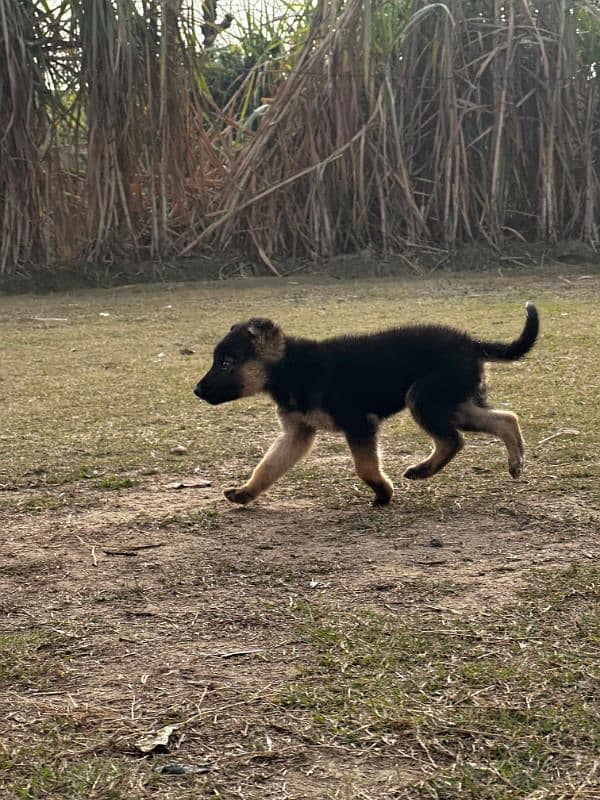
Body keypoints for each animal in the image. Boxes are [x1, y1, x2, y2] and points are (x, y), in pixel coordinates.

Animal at [196, 304, 540, 504]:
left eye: (226, 362)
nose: (197, 391)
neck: (289, 368)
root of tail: (470, 343)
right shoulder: (297, 434)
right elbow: (267, 466)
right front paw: (245, 493)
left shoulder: (359, 424)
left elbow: (364, 466)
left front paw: (382, 492)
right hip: (452, 403)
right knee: (506, 418)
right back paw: (515, 462)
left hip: (424, 399)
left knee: (453, 440)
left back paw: (423, 470)